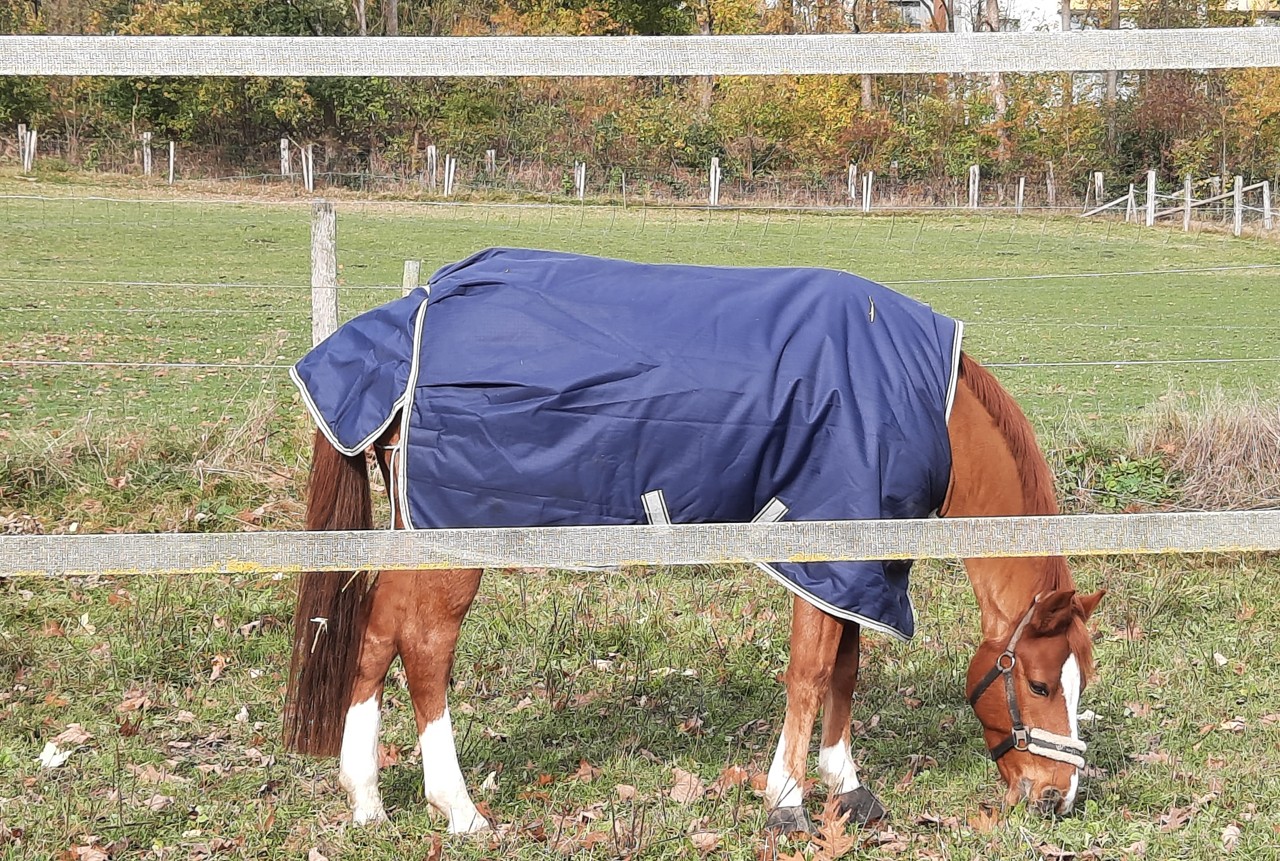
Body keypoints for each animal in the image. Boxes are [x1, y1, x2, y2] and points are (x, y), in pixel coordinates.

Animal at [281, 250, 1104, 835]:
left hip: (413, 532)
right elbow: (811, 671)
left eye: (1080, 682)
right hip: (455, 537)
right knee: (425, 648)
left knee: (377, 633)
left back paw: (366, 799)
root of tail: (405, 319)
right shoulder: (825, 545)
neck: (919, 400)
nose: (1057, 797)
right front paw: (786, 798)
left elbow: (846, 665)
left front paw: (847, 783)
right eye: (1038, 684)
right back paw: (459, 809)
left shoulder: (860, 564)